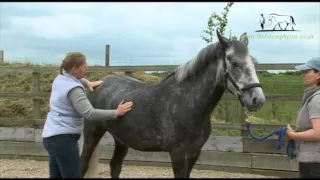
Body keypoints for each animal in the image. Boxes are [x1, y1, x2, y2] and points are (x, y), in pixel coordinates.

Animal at [79, 30, 266, 178]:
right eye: (234, 63)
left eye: (254, 63)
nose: (258, 100)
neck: (187, 103)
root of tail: (99, 83)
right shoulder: (178, 154)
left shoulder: (194, 153)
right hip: (92, 133)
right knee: (84, 164)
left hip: (121, 140)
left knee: (115, 165)